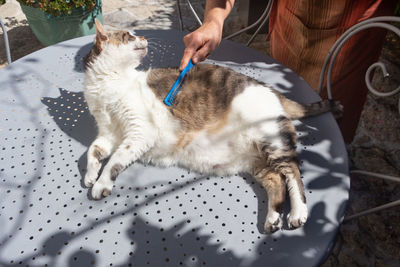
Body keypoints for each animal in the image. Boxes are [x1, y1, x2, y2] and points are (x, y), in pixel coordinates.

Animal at [83, 20, 340, 234]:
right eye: (128, 35)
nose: (144, 37)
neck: (110, 84)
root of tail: (272, 90)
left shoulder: (138, 132)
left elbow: (115, 160)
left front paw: (101, 183)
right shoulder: (108, 134)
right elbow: (92, 151)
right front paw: (90, 175)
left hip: (273, 141)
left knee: (293, 174)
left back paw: (297, 214)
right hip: (258, 163)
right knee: (277, 180)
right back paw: (273, 220)